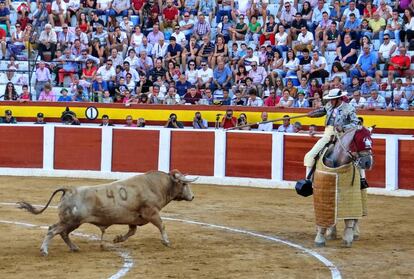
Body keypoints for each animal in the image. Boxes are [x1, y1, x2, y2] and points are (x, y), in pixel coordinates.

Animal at [17, 170, 196, 258]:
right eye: (184, 184)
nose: (192, 196)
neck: (155, 185)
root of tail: (69, 189)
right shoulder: (151, 212)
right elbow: (162, 225)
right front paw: (166, 241)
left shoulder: (134, 219)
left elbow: (132, 232)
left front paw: (117, 239)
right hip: (70, 220)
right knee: (52, 230)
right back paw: (44, 251)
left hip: (74, 222)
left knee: (63, 233)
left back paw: (74, 247)